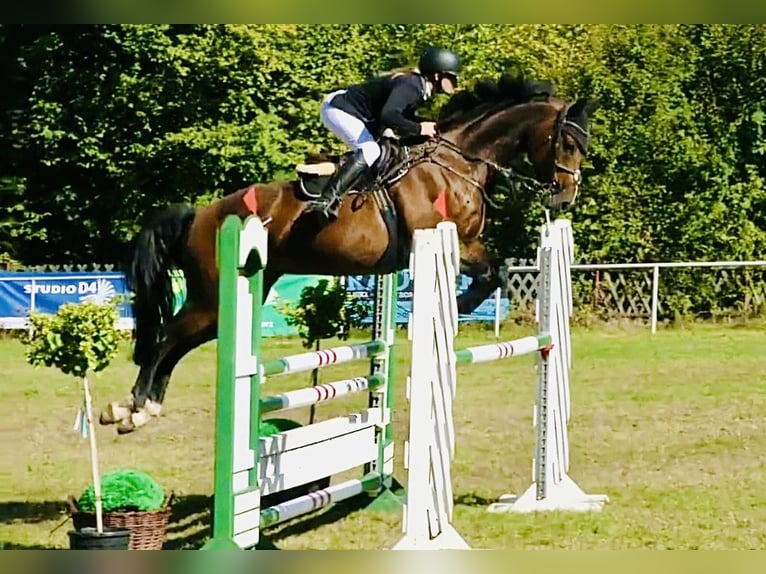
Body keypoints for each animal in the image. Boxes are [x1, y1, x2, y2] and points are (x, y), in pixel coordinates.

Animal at [100, 77, 600, 436]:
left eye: (584, 146)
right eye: (567, 143)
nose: (565, 198)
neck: (459, 163)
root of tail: (202, 214)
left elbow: (498, 271)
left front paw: (456, 311)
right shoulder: (443, 242)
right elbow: (491, 272)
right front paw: (453, 310)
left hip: (235, 296)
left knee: (177, 342)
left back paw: (143, 408)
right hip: (213, 295)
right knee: (167, 336)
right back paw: (131, 408)